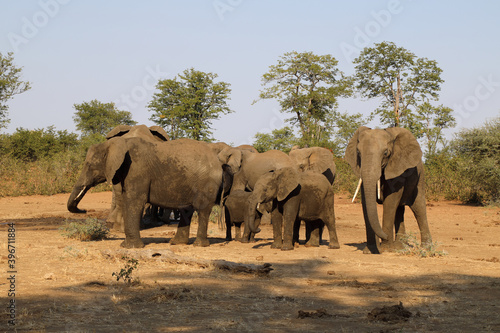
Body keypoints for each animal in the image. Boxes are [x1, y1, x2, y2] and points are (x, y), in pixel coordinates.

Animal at [67, 136, 229, 248]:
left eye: (89, 165)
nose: (84, 210)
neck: (117, 143)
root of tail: (218, 162)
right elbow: (127, 200)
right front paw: (126, 245)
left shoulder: (137, 170)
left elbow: (134, 201)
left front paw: (130, 247)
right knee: (186, 210)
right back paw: (176, 243)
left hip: (206, 183)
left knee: (202, 209)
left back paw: (199, 245)